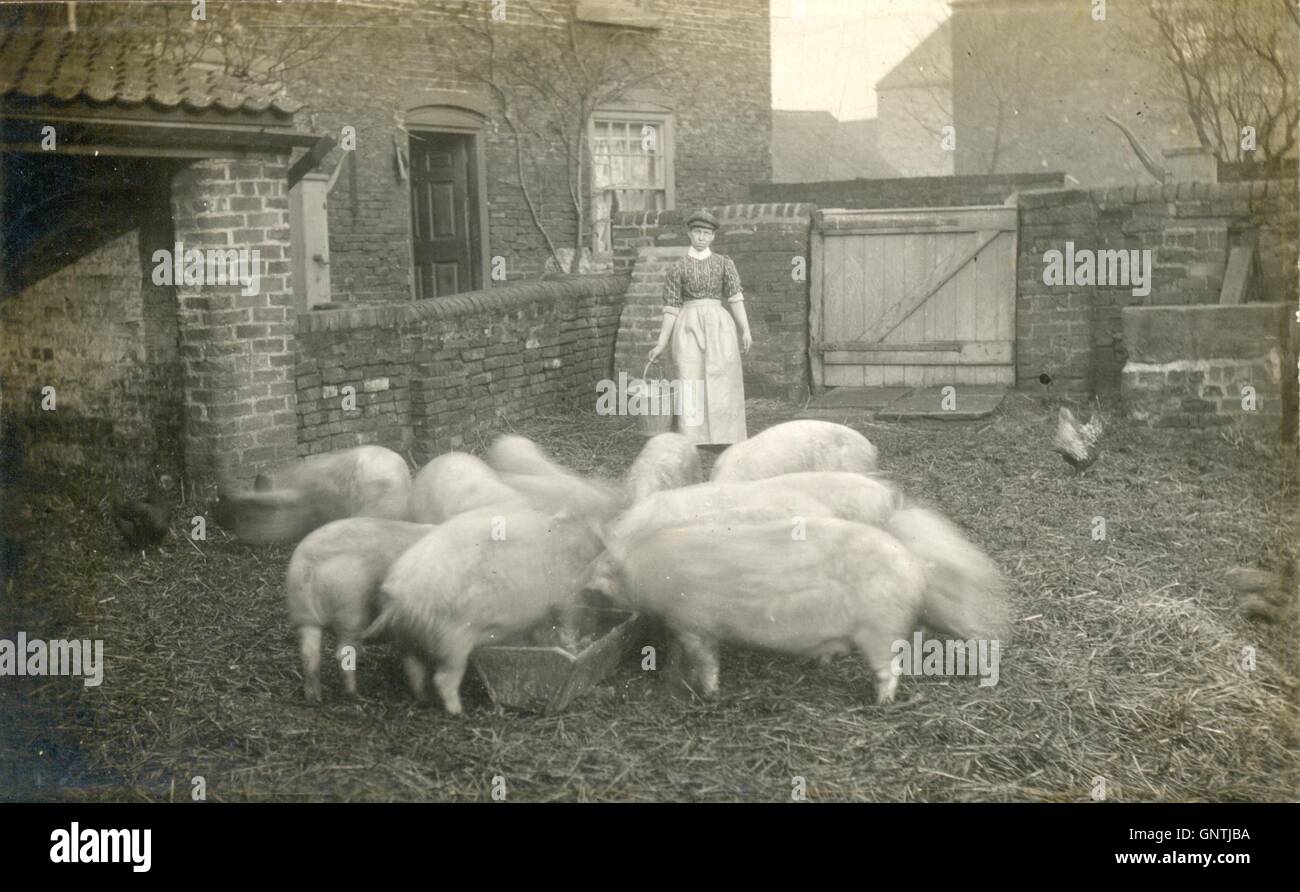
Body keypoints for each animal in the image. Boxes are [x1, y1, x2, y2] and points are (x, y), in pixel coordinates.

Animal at [287, 517, 434, 707]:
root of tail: (311, 564)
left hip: (303, 614)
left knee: (309, 655)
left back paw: (314, 699)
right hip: (350, 614)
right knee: (343, 654)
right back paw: (356, 695)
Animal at [366, 507, 603, 717]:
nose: (602, 542)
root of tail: (399, 599)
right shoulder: (566, 596)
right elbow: (567, 622)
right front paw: (572, 647)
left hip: (406, 639)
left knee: (412, 669)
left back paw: (423, 699)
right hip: (453, 643)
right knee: (443, 679)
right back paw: (458, 712)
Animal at [603, 517, 930, 707]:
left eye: (605, 571)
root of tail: (914, 569)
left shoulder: (694, 623)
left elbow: (706, 662)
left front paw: (710, 695)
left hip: (880, 629)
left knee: (891, 669)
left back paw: (881, 704)